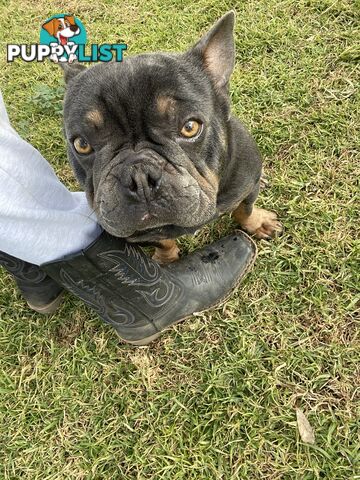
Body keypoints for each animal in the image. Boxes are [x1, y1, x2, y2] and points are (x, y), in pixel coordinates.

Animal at [60, 11, 282, 264]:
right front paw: (166, 259)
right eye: (82, 144)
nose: (140, 177)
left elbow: (245, 209)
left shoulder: (245, 187)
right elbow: (162, 240)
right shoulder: (142, 234)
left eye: (190, 127)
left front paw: (257, 223)